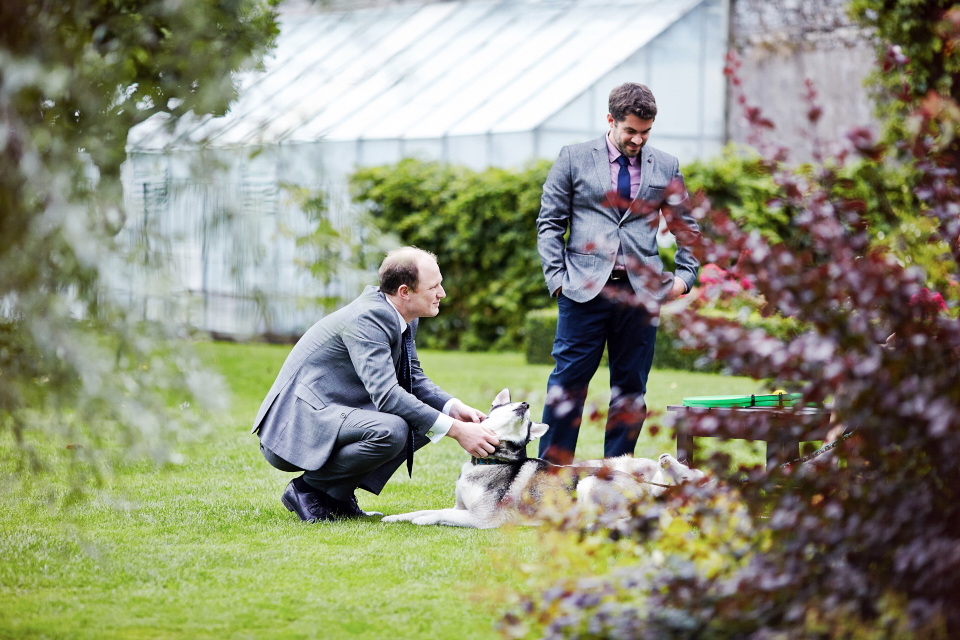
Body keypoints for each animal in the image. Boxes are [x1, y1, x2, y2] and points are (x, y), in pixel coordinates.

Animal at [382, 388, 704, 528]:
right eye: (511, 404)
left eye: (528, 418)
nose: (524, 404)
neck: (492, 462)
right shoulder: (460, 506)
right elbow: (424, 510)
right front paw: (397, 517)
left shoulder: (480, 518)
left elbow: (437, 514)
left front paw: (422, 520)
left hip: (587, 484)